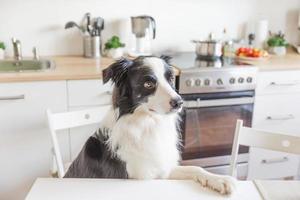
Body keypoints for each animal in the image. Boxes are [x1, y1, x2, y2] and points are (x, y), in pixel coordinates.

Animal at [64, 55, 236, 195]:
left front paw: (219, 179)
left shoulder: (162, 168)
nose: (179, 102)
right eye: (148, 83)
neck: (147, 123)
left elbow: (195, 167)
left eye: (171, 79)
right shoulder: (141, 175)